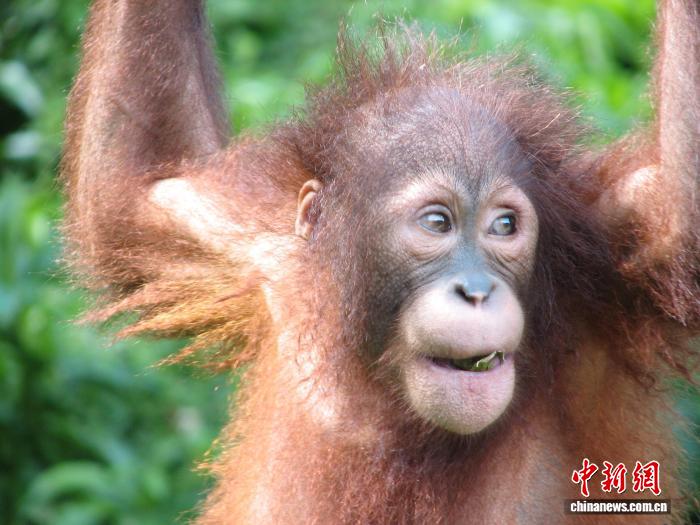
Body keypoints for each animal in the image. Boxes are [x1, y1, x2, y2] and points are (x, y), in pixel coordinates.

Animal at [61, 1, 699, 523]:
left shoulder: (600, 258)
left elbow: (679, 218)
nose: (477, 291)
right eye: (438, 223)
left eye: (505, 226)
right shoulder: (259, 248)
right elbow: (131, 194)